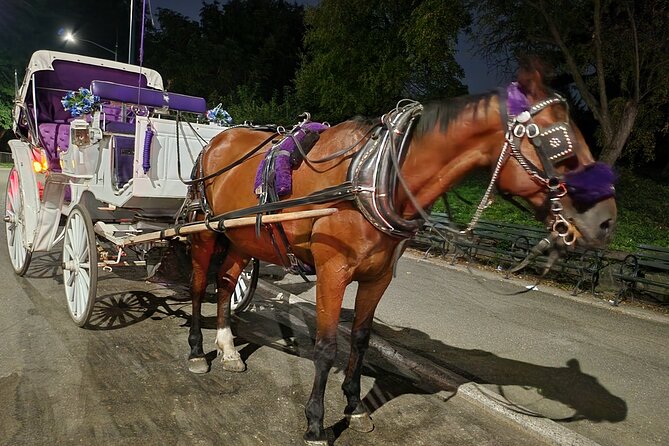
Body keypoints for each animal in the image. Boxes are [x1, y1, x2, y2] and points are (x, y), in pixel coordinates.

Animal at [185, 63, 617, 445]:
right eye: (559, 145)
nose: (606, 221)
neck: (373, 178)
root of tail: (216, 141)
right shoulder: (332, 272)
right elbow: (326, 346)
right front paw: (316, 423)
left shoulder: (377, 278)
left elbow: (360, 340)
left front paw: (355, 406)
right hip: (204, 234)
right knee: (199, 286)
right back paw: (197, 351)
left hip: (241, 239)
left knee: (227, 282)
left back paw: (227, 347)